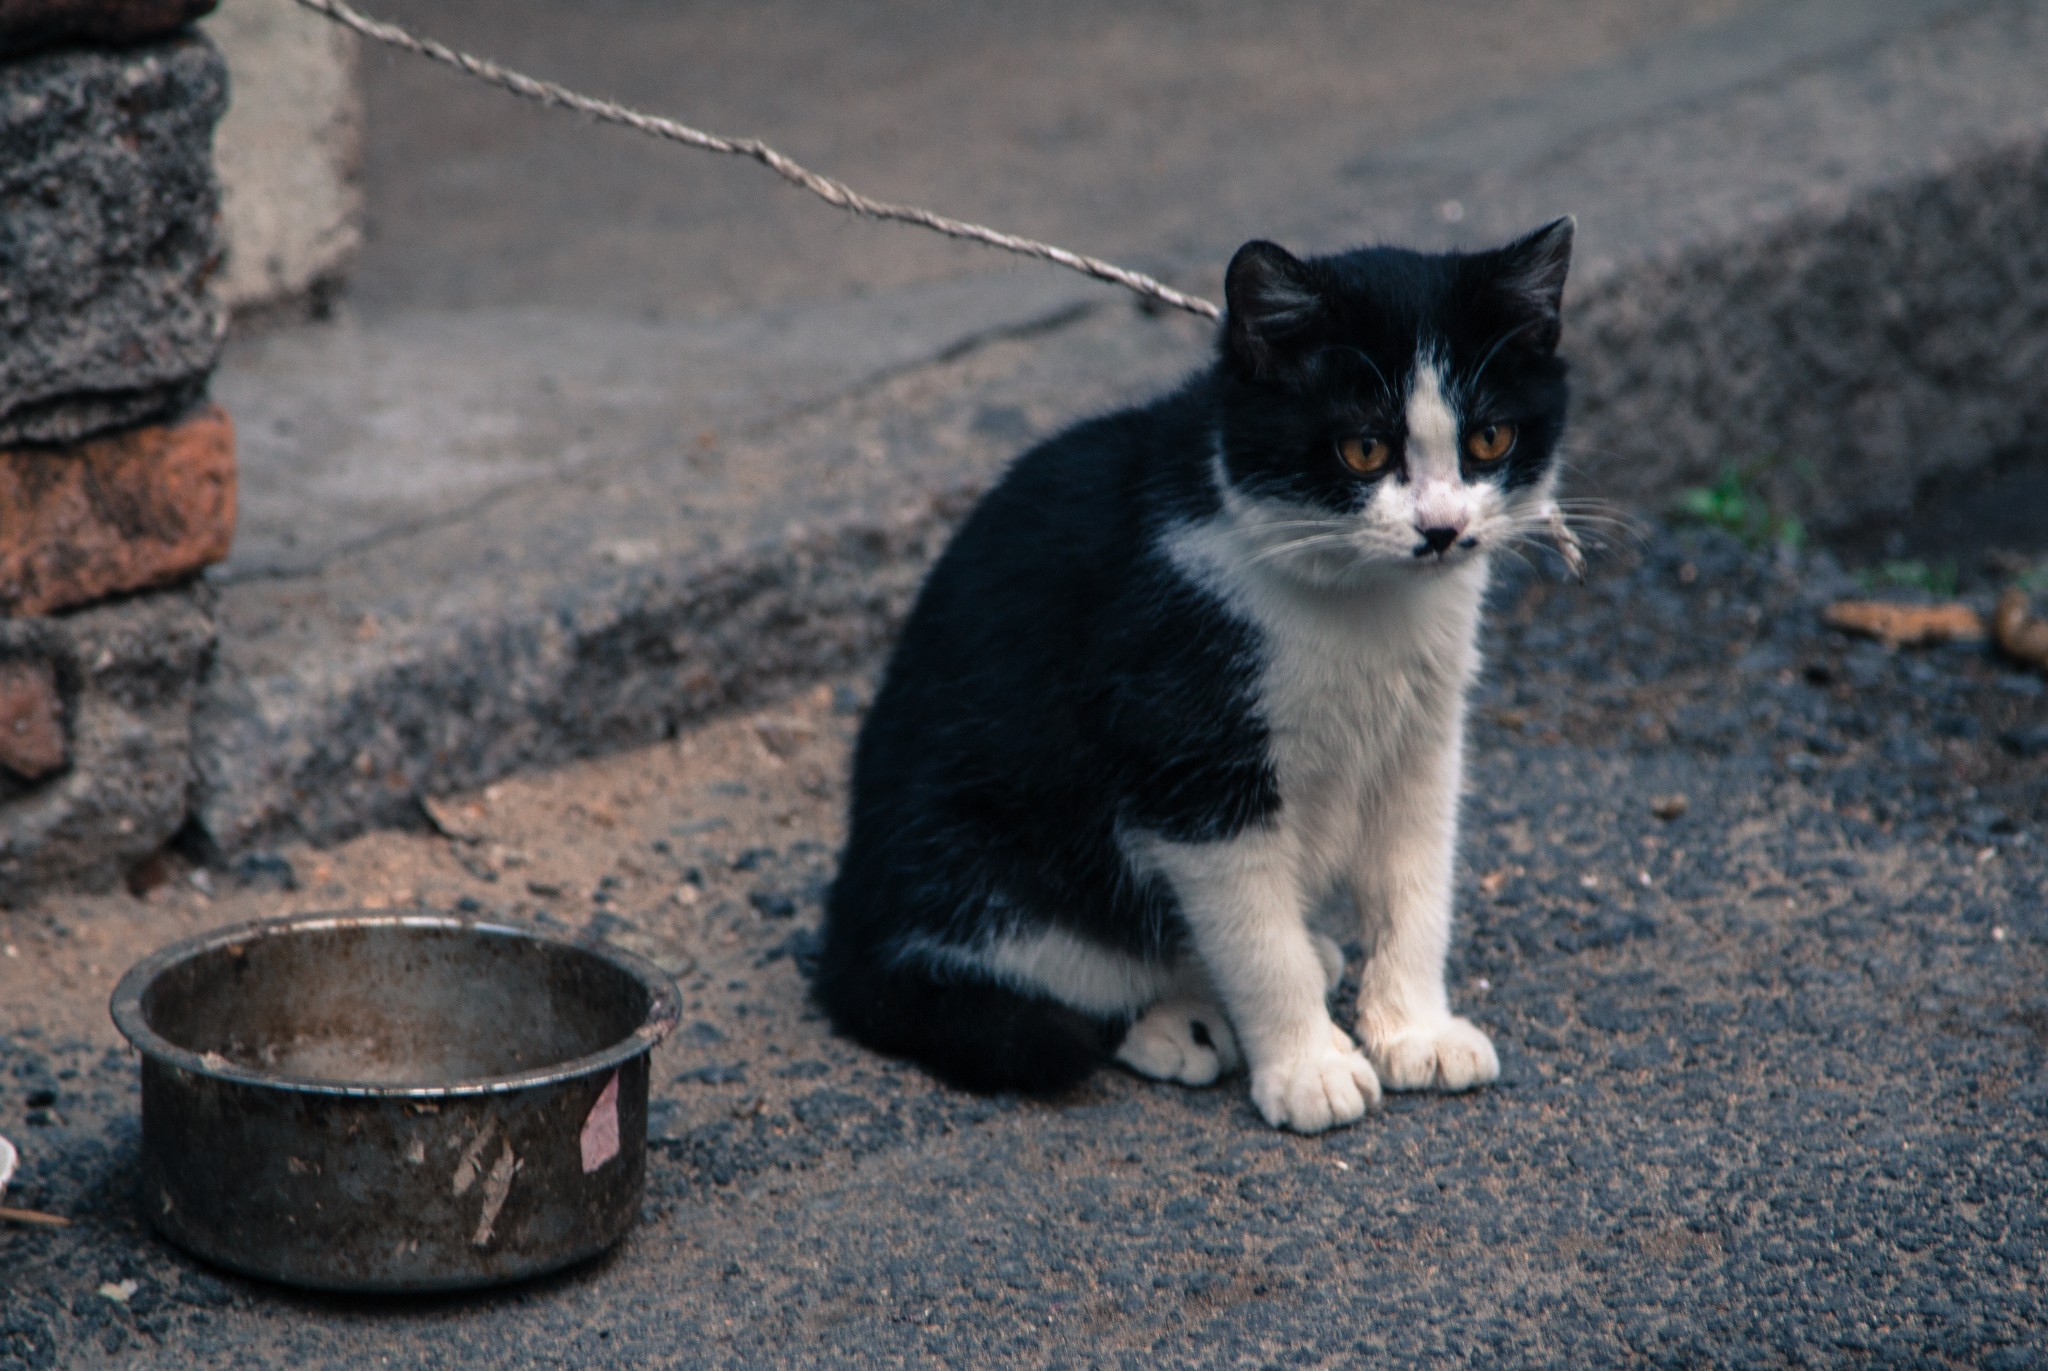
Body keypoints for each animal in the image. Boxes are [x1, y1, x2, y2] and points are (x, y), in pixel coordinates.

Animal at [811, 216, 1564, 1131]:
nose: (1443, 528)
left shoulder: (1423, 734)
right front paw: (1309, 1065)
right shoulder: (1188, 752)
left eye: (1490, 438)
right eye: (1363, 448)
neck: (1358, 604)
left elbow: (1416, 882)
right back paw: (1180, 1019)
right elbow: (1256, 935)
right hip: (983, 846)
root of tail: (849, 927)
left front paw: (1415, 1027)